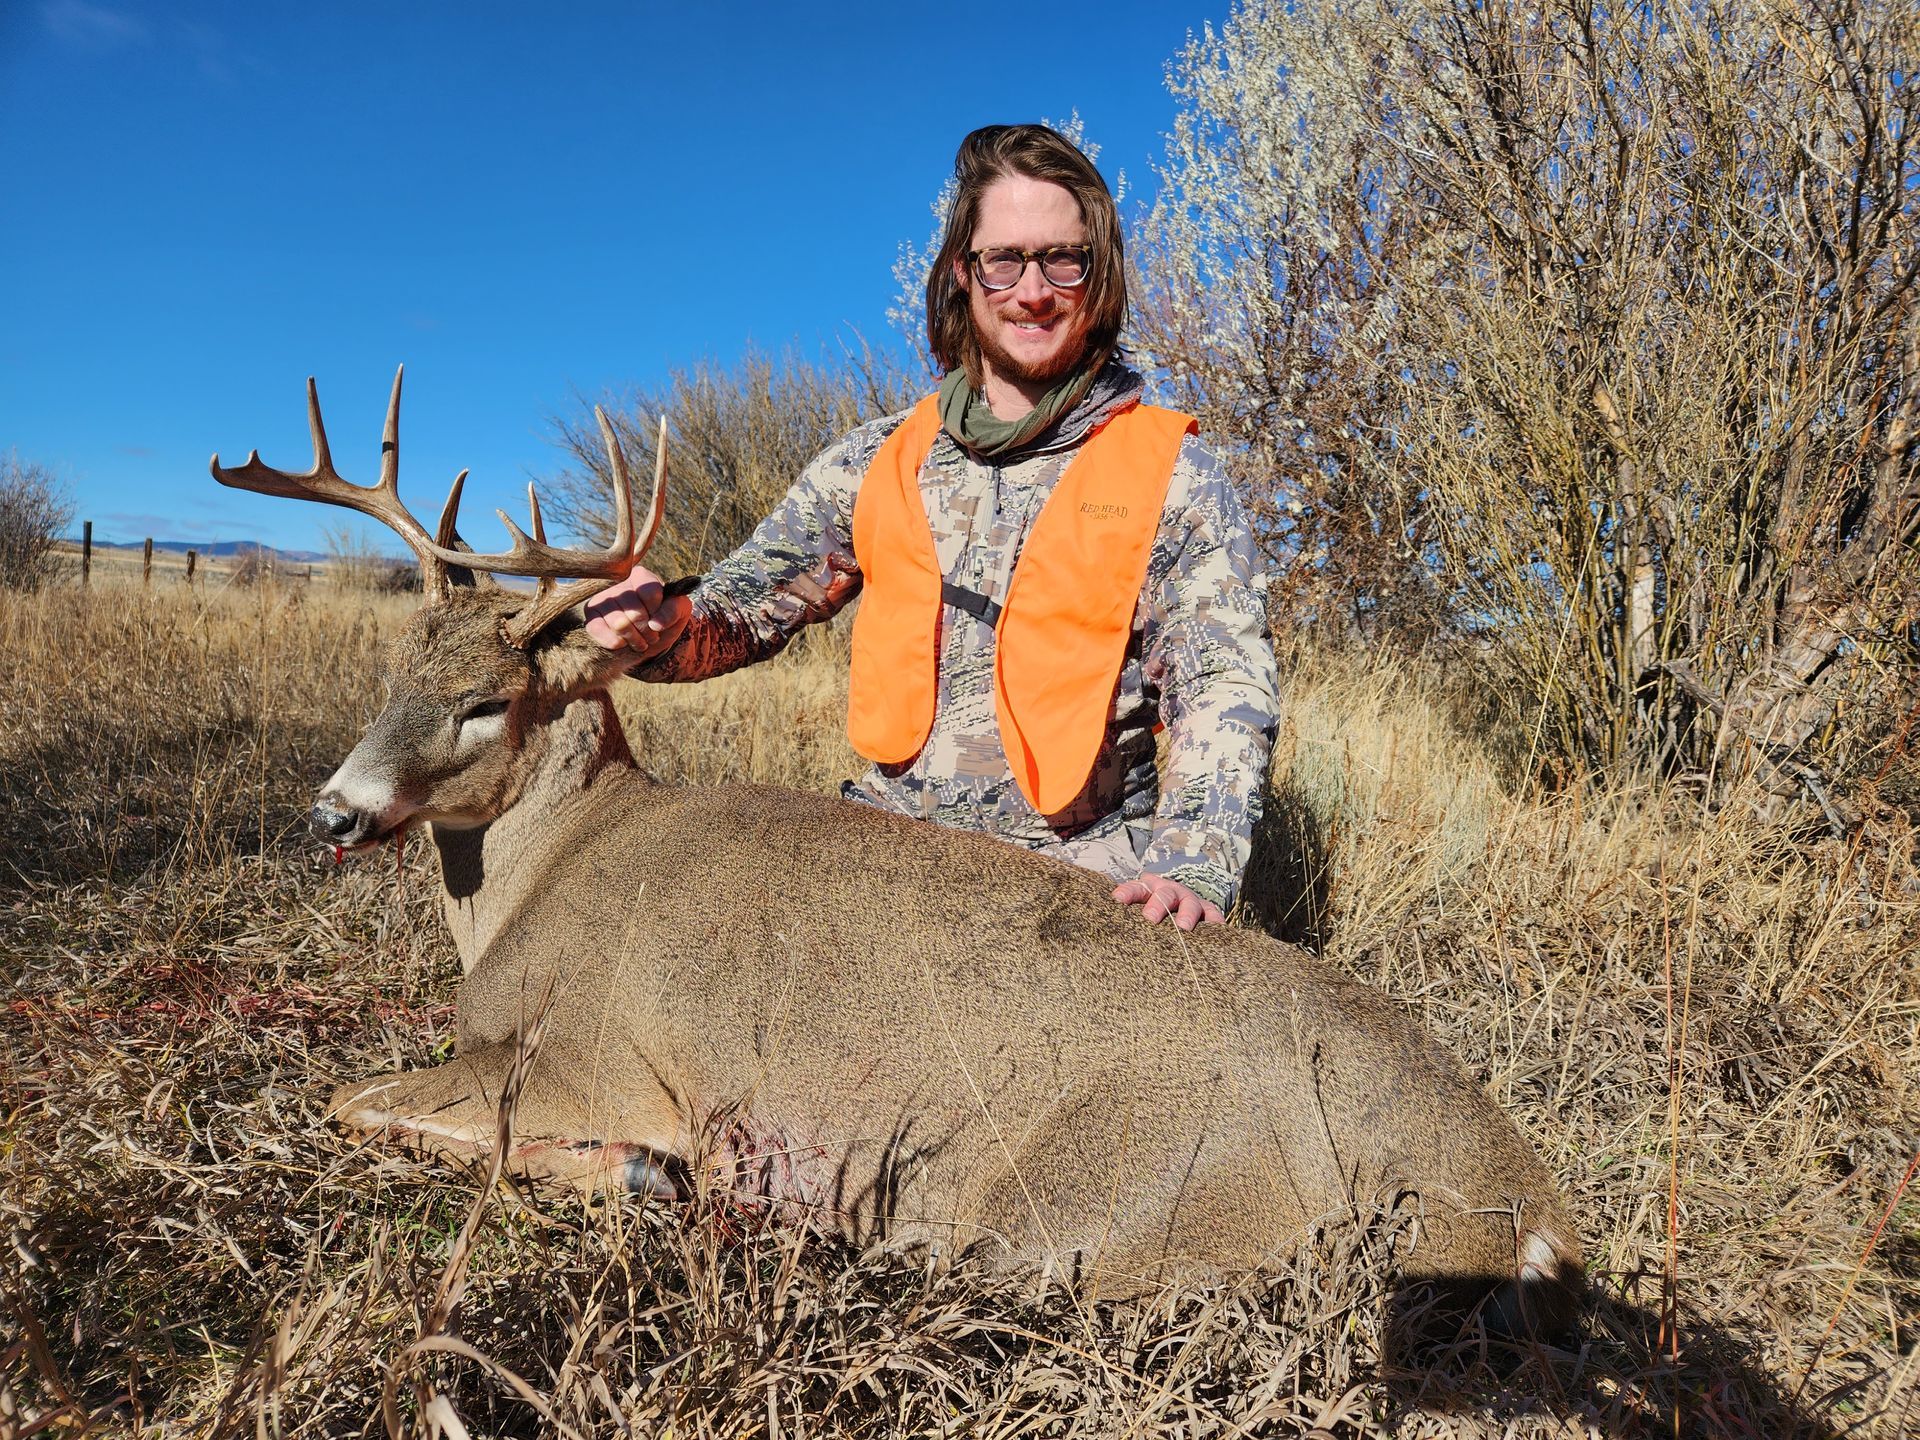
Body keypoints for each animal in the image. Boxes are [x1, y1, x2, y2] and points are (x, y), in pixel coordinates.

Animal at [212, 369, 1585, 1332]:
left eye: (485, 703)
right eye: (393, 670)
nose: (335, 811)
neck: (538, 877)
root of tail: (1515, 1191)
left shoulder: (580, 1060)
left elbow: (358, 1101)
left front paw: (644, 1175)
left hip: (1091, 1204)